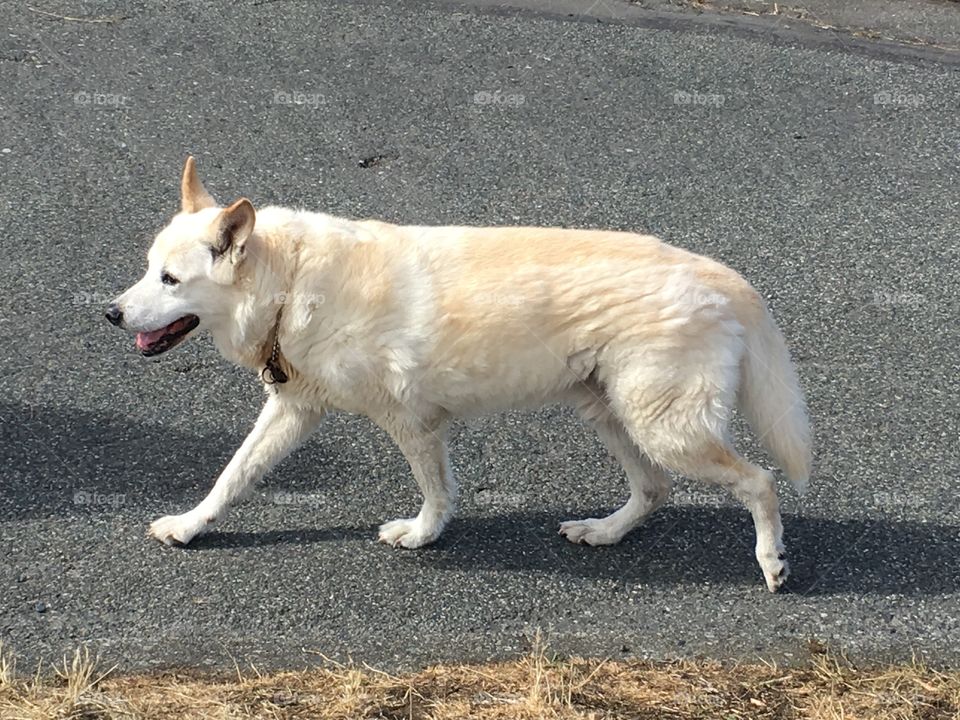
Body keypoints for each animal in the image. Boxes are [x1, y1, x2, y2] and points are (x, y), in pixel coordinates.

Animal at [105, 160, 808, 592]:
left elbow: (437, 492)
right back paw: (604, 532)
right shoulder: (294, 410)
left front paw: (422, 536)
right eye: (147, 270)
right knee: (656, 490)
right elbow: (232, 476)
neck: (291, 282)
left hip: (664, 427)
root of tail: (718, 272)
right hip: (613, 415)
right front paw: (190, 526)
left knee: (761, 482)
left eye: (170, 280)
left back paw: (771, 561)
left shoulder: (411, 423)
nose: (110, 313)